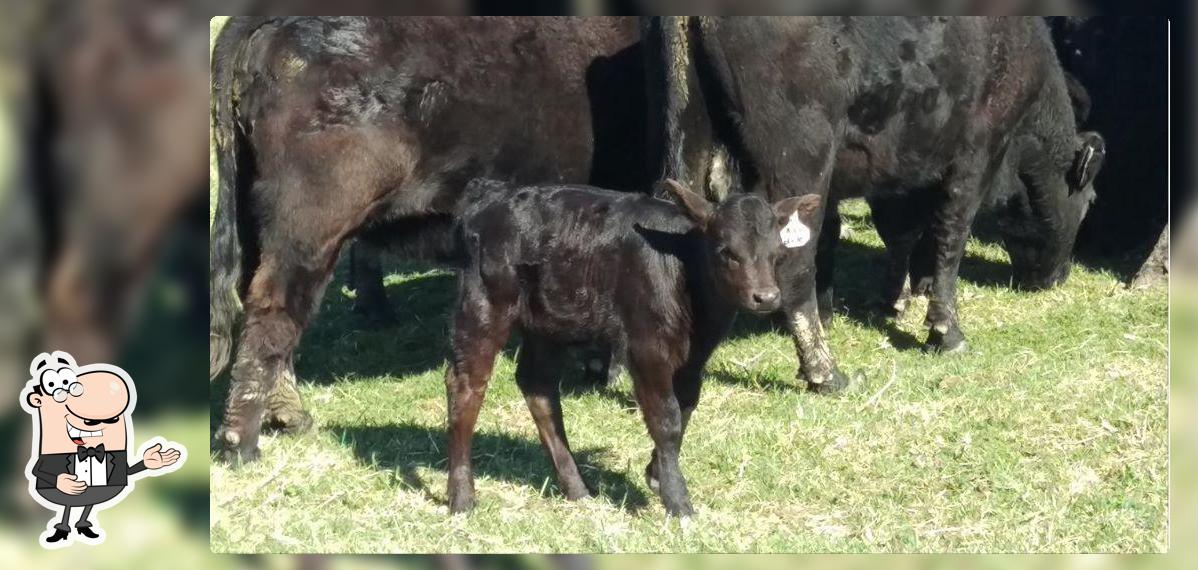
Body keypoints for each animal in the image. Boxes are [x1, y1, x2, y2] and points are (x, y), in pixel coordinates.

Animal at [445, 178, 822, 517]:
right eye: (727, 252)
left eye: (777, 253)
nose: (767, 297)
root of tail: (490, 194)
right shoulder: (647, 347)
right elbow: (666, 417)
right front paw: (678, 501)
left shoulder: (693, 360)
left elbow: (684, 408)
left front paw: (656, 475)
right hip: (484, 304)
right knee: (467, 386)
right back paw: (462, 497)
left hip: (548, 322)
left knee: (538, 386)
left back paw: (577, 488)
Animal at [645, 16, 1105, 388]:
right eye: (1089, 203)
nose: (1058, 277)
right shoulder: (978, 151)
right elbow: (951, 236)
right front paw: (945, 330)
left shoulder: (907, 166)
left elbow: (899, 233)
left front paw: (891, 299)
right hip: (801, 155)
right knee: (794, 261)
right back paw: (824, 372)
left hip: (691, 143)